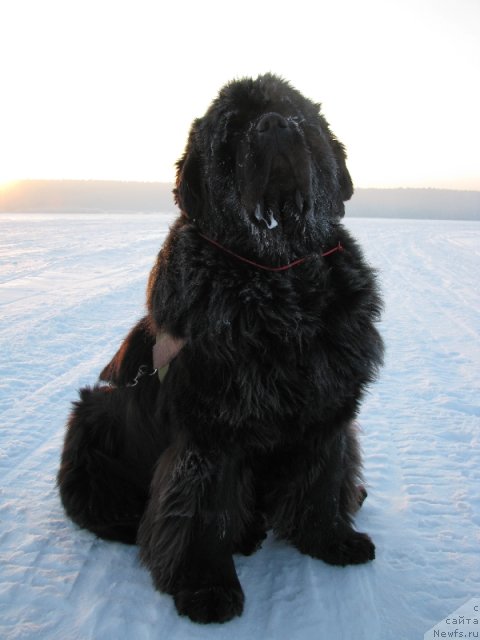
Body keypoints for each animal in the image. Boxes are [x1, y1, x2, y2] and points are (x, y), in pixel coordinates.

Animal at [58, 72, 384, 624]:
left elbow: (322, 480)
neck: (280, 281)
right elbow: (199, 512)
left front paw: (331, 541)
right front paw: (206, 588)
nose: (274, 125)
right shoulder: (208, 432)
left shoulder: (327, 410)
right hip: (90, 418)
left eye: (295, 112)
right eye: (231, 130)